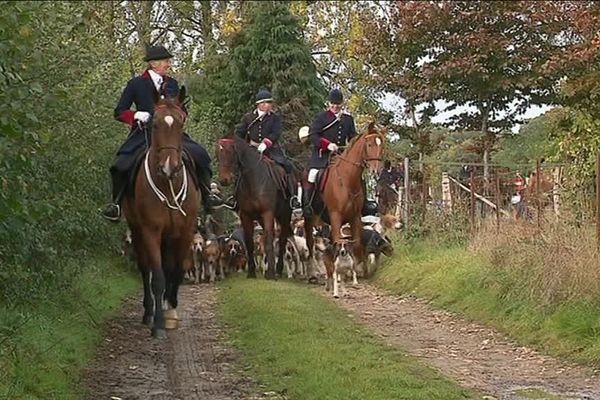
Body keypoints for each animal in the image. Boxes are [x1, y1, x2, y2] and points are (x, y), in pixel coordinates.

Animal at [122, 89, 199, 340]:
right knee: (145, 268)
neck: (167, 184)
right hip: (137, 231)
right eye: (154, 123)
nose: (169, 167)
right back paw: (148, 312)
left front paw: (171, 311)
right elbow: (157, 277)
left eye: (181, 121)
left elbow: (176, 271)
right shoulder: (151, 231)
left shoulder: (185, 232)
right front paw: (158, 324)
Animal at [216, 134, 292, 278]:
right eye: (217, 154)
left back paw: (278, 269)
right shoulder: (245, 214)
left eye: (230, 152)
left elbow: (268, 241)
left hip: (284, 215)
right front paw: (251, 272)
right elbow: (250, 243)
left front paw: (271, 273)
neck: (252, 180)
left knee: (282, 240)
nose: (224, 180)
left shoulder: (268, 213)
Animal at [304, 122, 384, 294]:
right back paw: (313, 275)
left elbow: (356, 244)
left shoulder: (355, 217)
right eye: (369, 144)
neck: (347, 180)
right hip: (310, 219)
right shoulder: (336, 215)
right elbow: (337, 241)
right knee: (310, 245)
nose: (376, 171)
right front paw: (340, 275)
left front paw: (356, 271)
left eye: (382, 145)